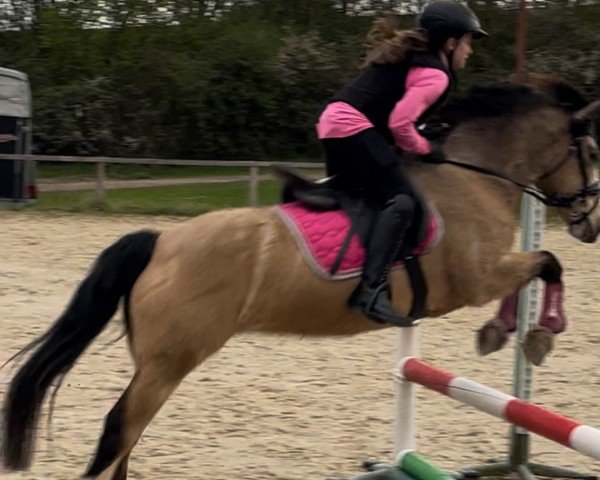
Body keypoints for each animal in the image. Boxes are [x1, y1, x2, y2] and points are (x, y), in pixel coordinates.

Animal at [3, 77, 600, 478]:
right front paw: (534, 333)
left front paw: (507, 332)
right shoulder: (476, 279)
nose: (589, 222)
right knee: (118, 433)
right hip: (169, 364)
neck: (473, 176)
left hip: (154, 363)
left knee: (126, 442)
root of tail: (161, 241)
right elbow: (546, 261)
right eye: (592, 150)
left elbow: (537, 266)